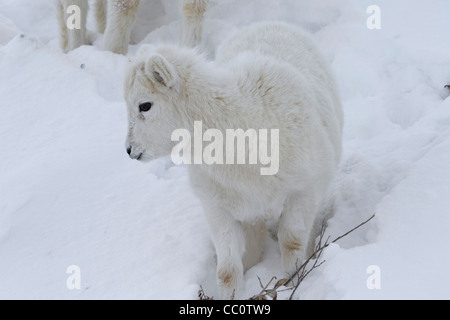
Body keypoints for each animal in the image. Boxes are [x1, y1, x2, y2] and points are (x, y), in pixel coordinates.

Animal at [121, 21, 342, 298]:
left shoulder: (305, 190)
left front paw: (293, 283)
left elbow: (291, 244)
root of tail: (270, 23)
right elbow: (227, 271)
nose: (129, 150)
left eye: (145, 105)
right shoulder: (218, 208)